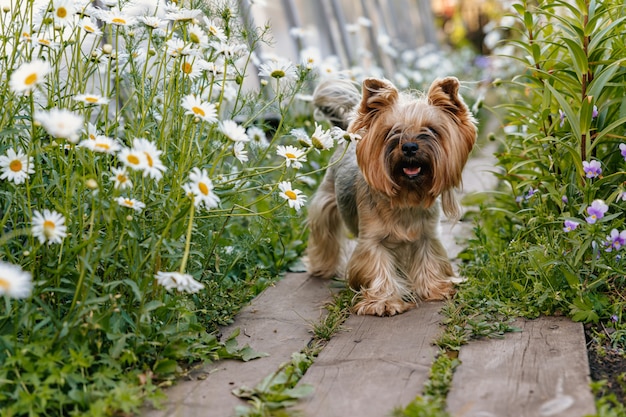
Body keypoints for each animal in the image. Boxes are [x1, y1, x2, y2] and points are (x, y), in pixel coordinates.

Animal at [304, 75, 476, 316]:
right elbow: (378, 265)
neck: (407, 195)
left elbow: (429, 258)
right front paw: (384, 302)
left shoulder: (427, 235)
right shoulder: (372, 240)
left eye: (431, 130)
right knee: (324, 232)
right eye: (392, 132)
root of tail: (349, 134)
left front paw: (435, 288)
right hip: (326, 199)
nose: (410, 147)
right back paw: (322, 267)